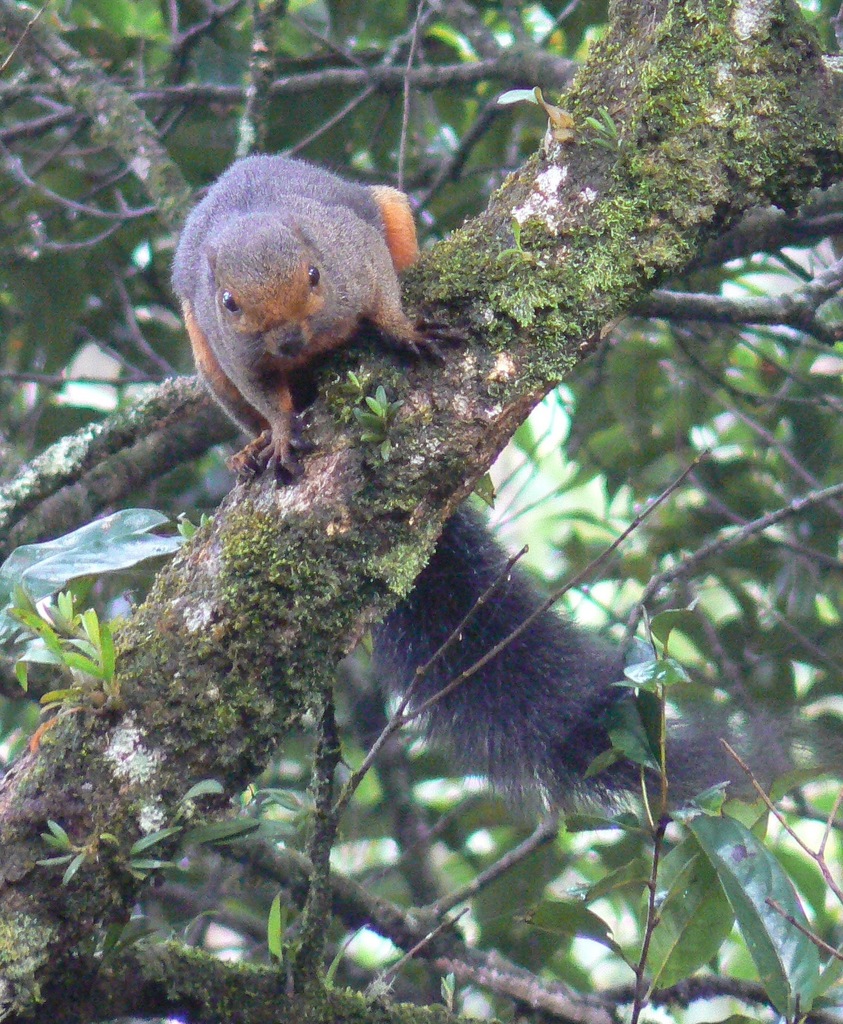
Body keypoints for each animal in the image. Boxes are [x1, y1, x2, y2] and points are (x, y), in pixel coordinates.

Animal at [173, 155, 773, 808]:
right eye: (230, 302)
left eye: (314, 275)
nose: (287, 338)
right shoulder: (231, 346)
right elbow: (263, 394)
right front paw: (279, 431)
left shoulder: (351, 254)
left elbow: (381, 290)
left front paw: (403, 330)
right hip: (201, 348)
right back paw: (253, 447)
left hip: (390, 211)